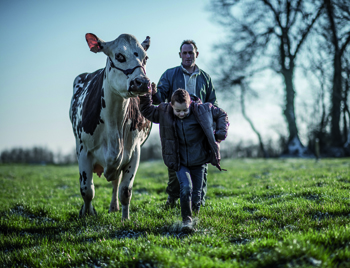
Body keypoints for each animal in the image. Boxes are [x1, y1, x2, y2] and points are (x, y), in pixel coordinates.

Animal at [69, 32, 152, 219]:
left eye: (145, 58)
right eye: (119, 56)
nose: (143, 82)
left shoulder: (134, 151)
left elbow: (125, 190)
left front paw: (125, 219)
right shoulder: (84, 151)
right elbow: (87, 190)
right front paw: (87, 214)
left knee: (115, 182)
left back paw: (114, 207)